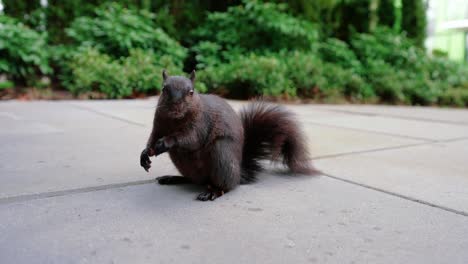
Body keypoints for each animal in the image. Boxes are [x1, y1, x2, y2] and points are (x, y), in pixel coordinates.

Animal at [138, 69, 314, 200]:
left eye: (191, 92)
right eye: (163, 90)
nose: (175, 106)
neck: (175, 120)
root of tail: (238, 174)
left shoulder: (201, 123)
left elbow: (191, 138)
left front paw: (166, 142)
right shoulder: (158, 124)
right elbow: (153, 137)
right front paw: (145, 153)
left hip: (221, 153)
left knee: (226, 186)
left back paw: (213, 192)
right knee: (194, 179)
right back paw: (173, 178)